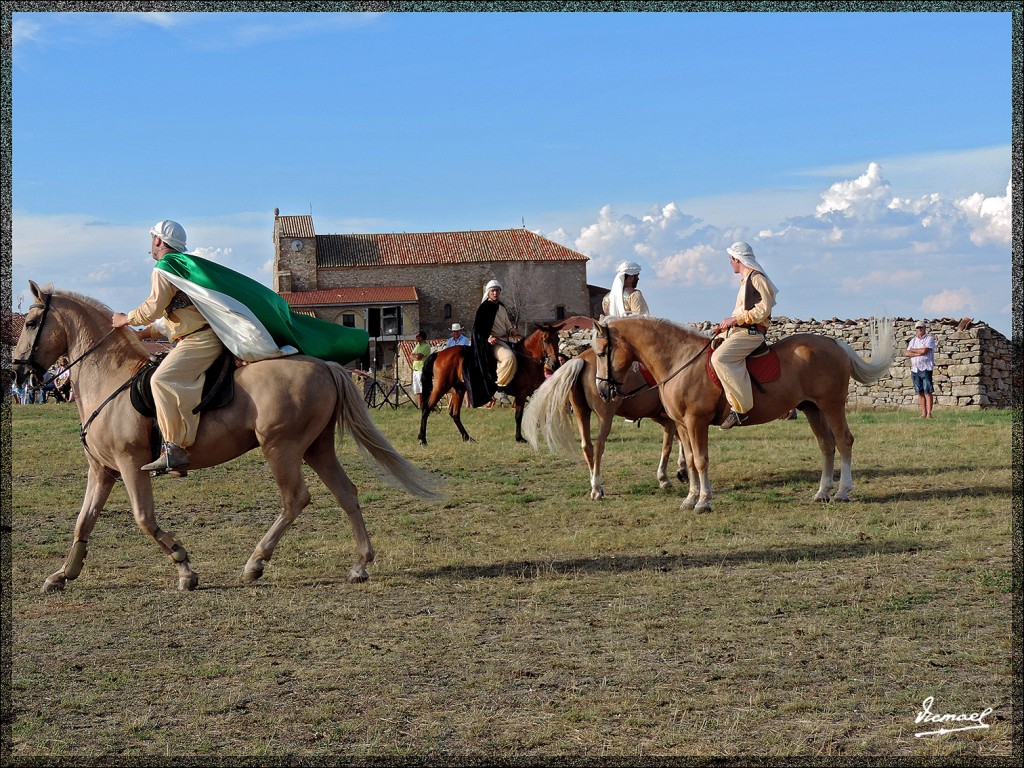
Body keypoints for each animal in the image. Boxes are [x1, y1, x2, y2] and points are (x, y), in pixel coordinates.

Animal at [11, 284, 444, 593]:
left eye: (31, 324)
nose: (17, 371)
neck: (111, 379)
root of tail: (325, 365)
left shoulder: (131, 465)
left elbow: (144, 519)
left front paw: (185, 569)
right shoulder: (102, 470)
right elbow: (82, 523)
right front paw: (63, 574)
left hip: (281, 448)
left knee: (296, 499)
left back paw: (256, 563)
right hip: (315, 448)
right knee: (347, 494)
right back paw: (359, 565)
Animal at [417, 323, 569, 444]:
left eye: (557, 339)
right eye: (545, 340)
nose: (555, 364)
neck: (528, 359)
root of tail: (439, 354)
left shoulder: (535, 391)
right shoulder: (521, 394)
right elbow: (519, 415)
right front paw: (519, 438)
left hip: (458, 389)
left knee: (454, 414)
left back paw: (467, 437)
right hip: (441, 387)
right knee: (427, 408)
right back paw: (423, 439)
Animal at [524, 348, 684, 501]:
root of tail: (582, 359)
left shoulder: (664, 417)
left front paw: (682, 470)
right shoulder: (672, 419)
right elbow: (668, 446)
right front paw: (665, 478)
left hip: (581, 413)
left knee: (587, 446)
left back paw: (594, 482)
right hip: (605, 416)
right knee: (599, 446)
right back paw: (596, 488)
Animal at [589, 315, 892, 514]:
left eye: (602, 351)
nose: (602, 389)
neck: (679, 360)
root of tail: (835, 345)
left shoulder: (696, 422)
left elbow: (701, 460)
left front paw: (703, 501)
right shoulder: (682, 426)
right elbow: (690, 460)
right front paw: (690, 498)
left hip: (831, 406)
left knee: (844, 441)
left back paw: (842, 492)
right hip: (813, 410)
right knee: (827, 446)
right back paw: (822, 492)